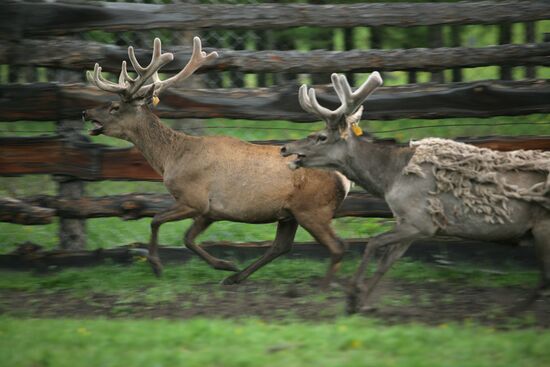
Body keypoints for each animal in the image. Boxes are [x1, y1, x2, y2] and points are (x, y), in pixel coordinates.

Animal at [82, 37, 352, 286]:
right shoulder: (210, 211)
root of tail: (344, 179)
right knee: (281, 246)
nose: (86, 112)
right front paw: (226, 264)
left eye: (115, 107)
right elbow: (188, 238)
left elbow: (157, 220)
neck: (172, 158)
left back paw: (326, 286)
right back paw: (236, 277)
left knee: (337, 246)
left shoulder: (194, 199)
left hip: (312, 209)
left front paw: (157, 266)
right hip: (289, 213)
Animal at [282, 72, 550, 314]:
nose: (285, 147)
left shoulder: (421, 220)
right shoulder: (409, 223)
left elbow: (373, 243)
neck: (388, 179)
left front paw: (352, 296)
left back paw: (513, 311)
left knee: (544, 279)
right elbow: (386, 262)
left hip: (543, 226)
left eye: (321, 137)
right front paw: (362, 302)